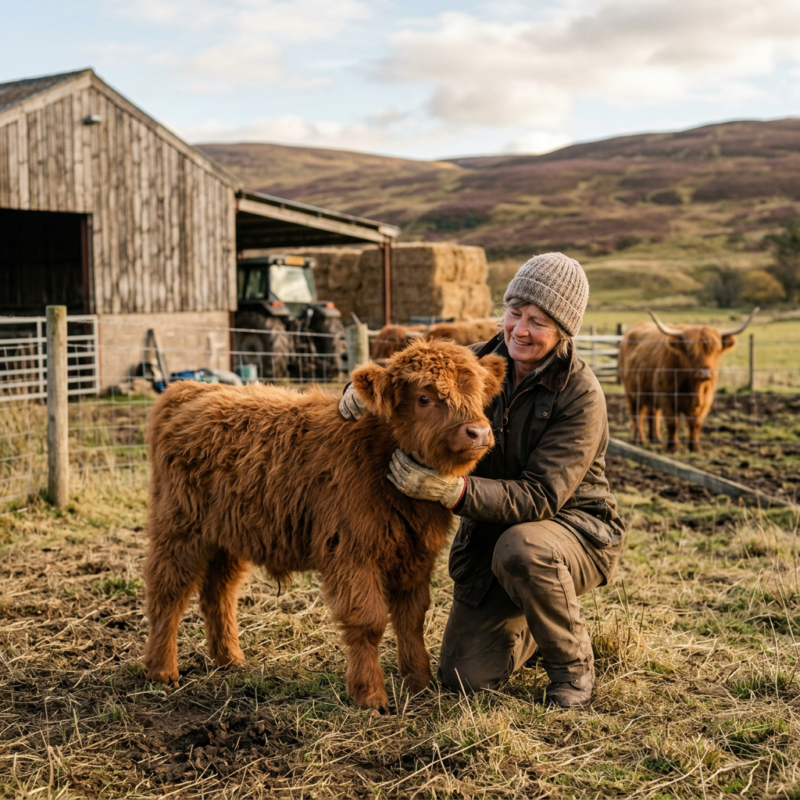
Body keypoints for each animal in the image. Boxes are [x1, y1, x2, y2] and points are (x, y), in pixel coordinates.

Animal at [143, 339, 506, 713]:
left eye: (479, 393)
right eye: (424, 398)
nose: (479, 432)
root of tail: (190, 390)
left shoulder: (415, 555)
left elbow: (411, 618)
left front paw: (419, 685)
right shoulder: (353, 553)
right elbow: (369, 622)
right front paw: (370, 696)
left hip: (226, 536)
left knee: (218, 592)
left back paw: (230, 658)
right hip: (180, 529)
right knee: (167, 592)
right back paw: (162, 670)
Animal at [618, 308, 758, 452]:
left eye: (717, 350)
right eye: (691, 351)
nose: (705, 373)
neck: (694, 388)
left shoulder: (706, 400)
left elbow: (695, 423)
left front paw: (695, 447)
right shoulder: (667, 398)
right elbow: (673, 423)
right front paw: (673, 448)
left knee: (653, 414)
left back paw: (655, 439)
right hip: (632, 392)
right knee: (637, 414)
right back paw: (639, 439)